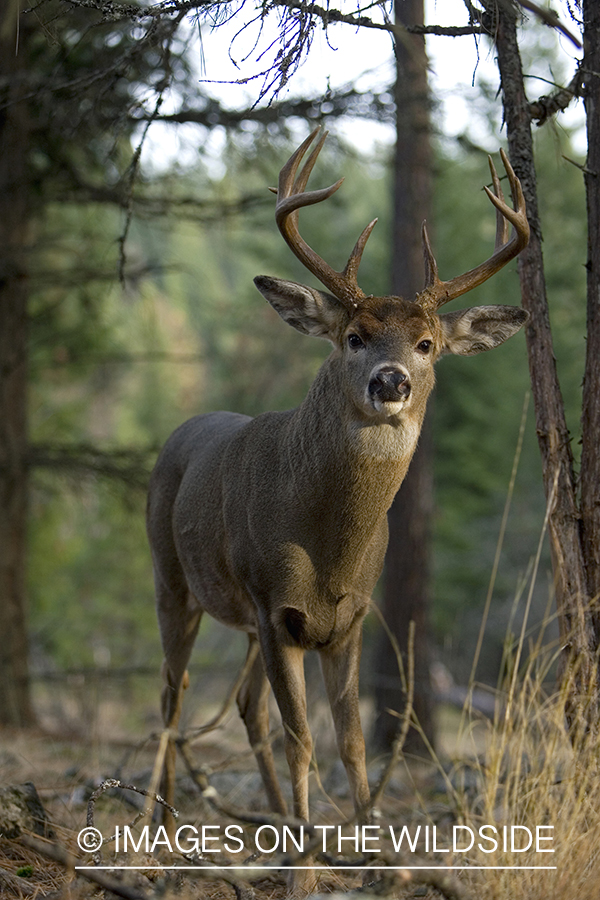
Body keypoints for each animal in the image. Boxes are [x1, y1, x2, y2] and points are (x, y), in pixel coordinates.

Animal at [148, 132, 528, 880]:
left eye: (427, 343)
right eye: (354, 337)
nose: (392, 381)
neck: (328, 547)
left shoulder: (349, 617)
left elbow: (349, 742)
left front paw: (381, 855)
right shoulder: (275, 609)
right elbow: (302, 739)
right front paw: (305, 865)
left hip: (242, 621)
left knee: (244, 706)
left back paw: (267, 822)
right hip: (174, 581)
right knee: (173, 696)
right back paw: (167, 827)